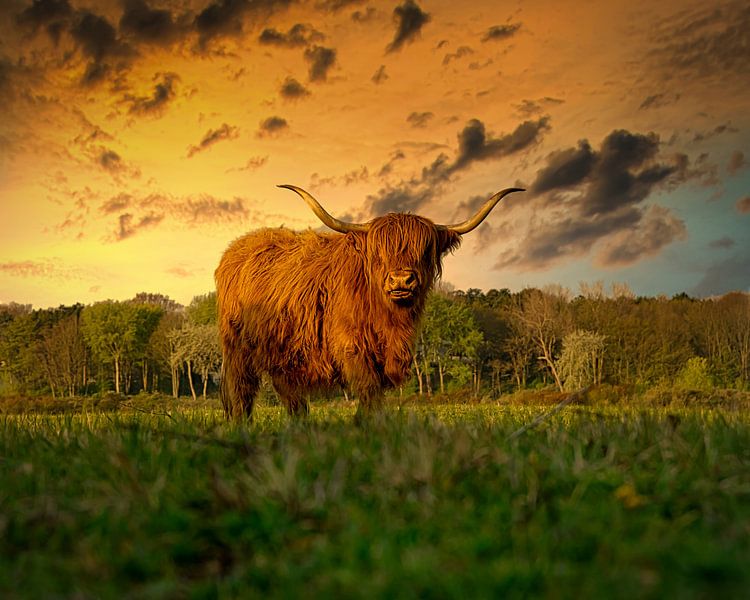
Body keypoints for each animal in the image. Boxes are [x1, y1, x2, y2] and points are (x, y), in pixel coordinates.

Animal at [214, 185, 524, 420]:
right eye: (379, 252)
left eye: (424, 250)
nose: (401, 280)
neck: (389, 320)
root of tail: (236, 248)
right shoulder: (352, 346)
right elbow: (368, 389)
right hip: (238, 349)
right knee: (240, 392)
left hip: (284, 355)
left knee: (291, 397)